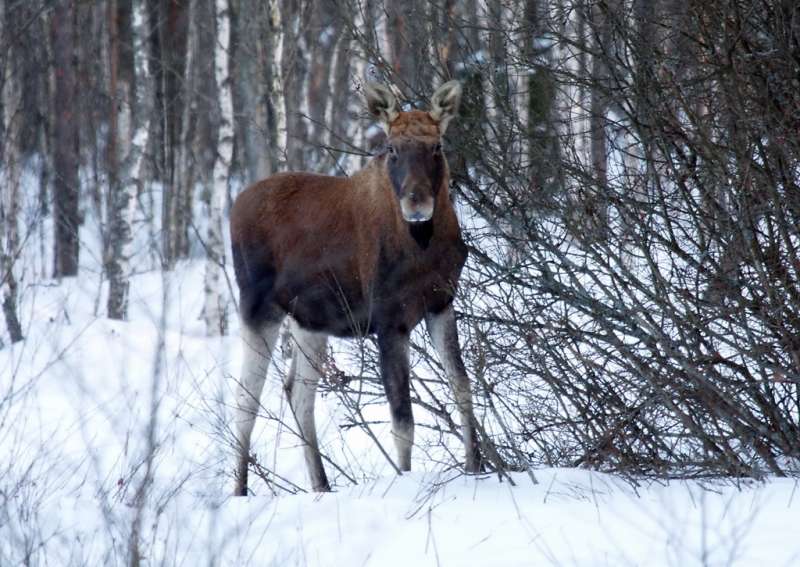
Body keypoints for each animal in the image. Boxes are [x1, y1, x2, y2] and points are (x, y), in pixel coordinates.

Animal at [231, 82, 482, 494]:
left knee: (297, 392)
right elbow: (402, 419)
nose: (417, 203)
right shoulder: (389, 318)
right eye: (391, 148)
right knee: (245, 398)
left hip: (309, 322)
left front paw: (476, 466)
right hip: (258, 309)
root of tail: (235, 202)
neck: (423, 244)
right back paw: (240, 490)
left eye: (437, 146)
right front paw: (406, 478)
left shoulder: (441, 303)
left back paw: (320, 485)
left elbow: (462, 386)